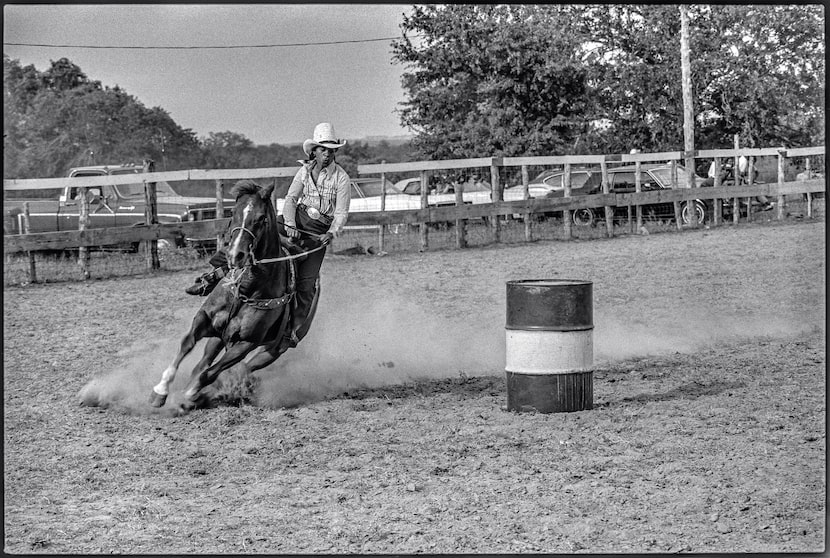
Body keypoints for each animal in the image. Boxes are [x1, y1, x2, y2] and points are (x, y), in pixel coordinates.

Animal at [150, 180, 318, 416]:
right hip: (218, 337)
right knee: (204, 362)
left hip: (273, 350)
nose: (235, 255)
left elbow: (210, 374)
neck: (248, 289)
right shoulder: (204, 319)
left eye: (261, 218)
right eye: (233, 213)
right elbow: (187, 344)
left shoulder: (246, 343)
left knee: (240, 369)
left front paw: (191, 395)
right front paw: (160, 391)